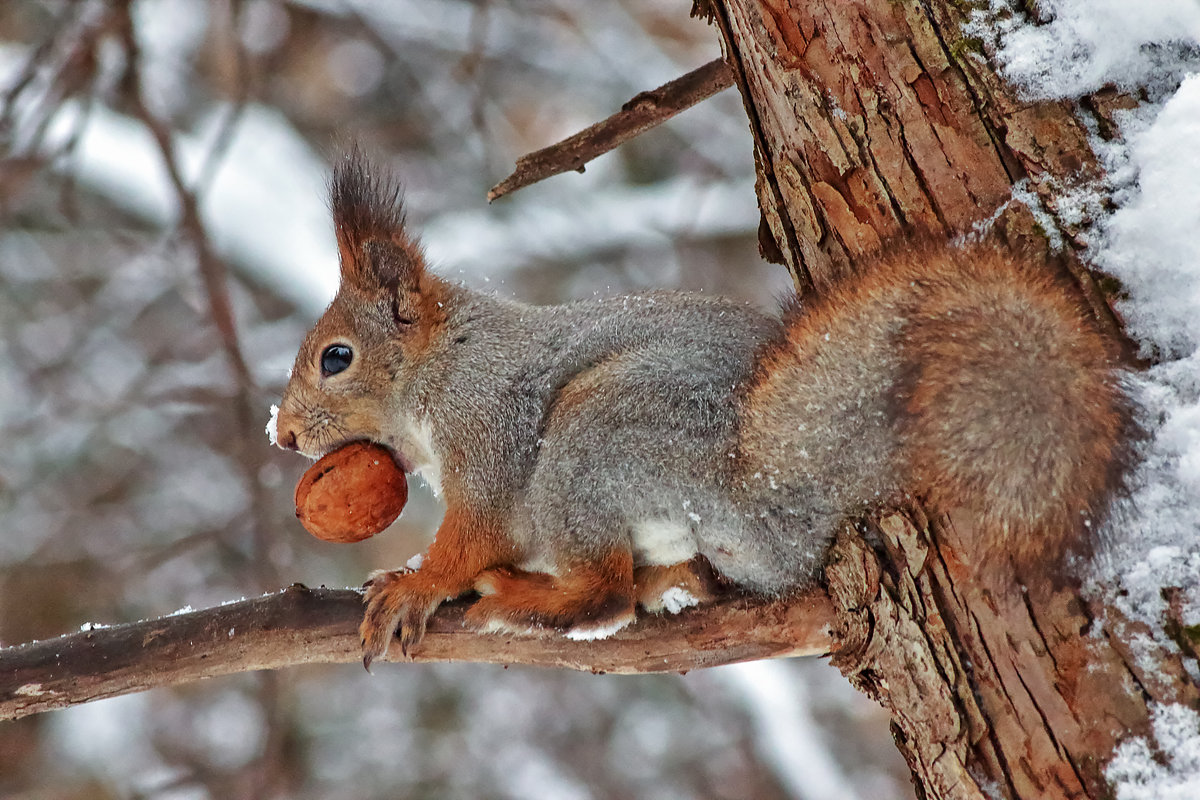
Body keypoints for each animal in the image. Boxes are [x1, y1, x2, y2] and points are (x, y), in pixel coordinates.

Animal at [270, 153, 1132, 666]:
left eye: (336, 358)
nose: (282, 433)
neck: (442, 366)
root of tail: (763, 494)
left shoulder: (487, 428)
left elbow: (472, 532)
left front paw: (417, 584)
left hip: (591, 442)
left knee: (603, 594)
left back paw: (519, 598)